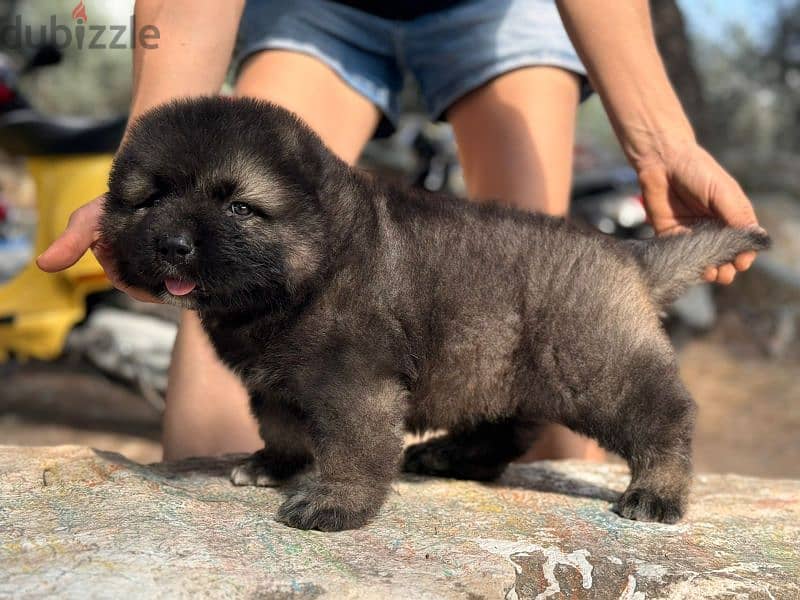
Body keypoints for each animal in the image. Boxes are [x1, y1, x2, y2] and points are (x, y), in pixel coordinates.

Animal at [100, 97, 768, 528]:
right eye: (150, 198)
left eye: (238, 207)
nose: (173, 245)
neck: (313, 267)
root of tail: (628, 254)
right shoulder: (276, 384)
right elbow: (284, 428)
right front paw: (274, 465)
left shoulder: (356, 384)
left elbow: (354, 446)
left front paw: (334, 503)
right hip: (499, 367)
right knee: (505, 429)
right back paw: (450, 455)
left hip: (596, 365)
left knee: (664, 416)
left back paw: (658, 491)